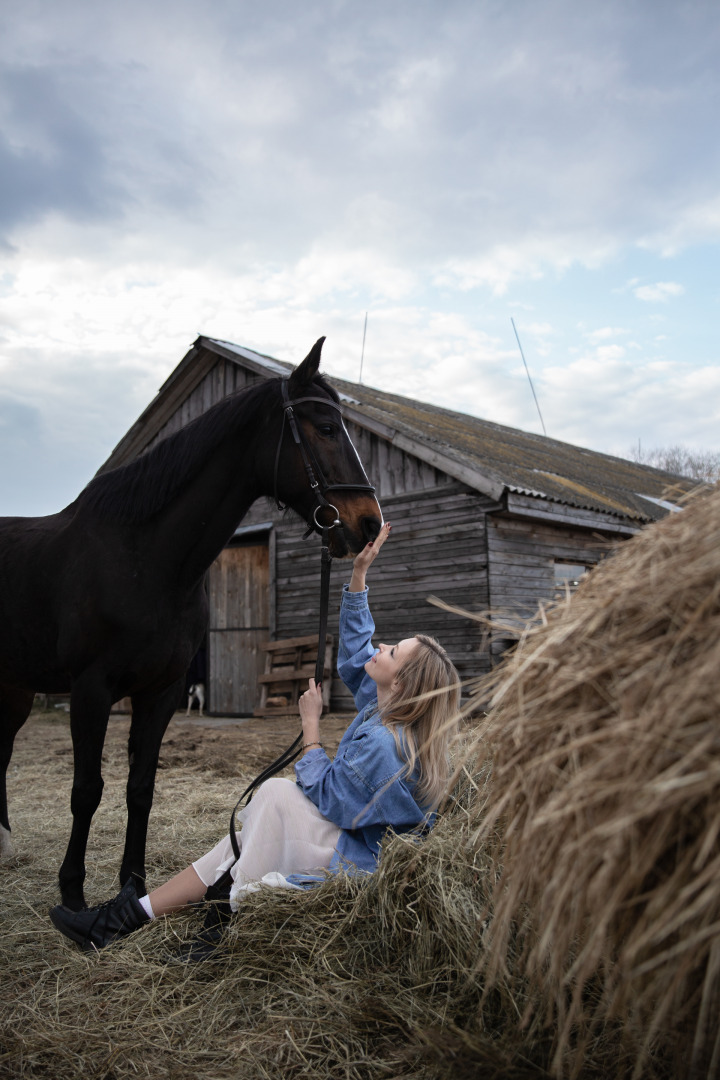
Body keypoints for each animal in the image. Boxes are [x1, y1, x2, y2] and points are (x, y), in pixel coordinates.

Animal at [0, 336, 382, 911]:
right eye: (325, 428)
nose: (370, 523)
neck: (144, 559)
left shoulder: (162, 691)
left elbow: (140, 787)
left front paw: (132, 886)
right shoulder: (90, 690)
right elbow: (86, 789)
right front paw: (72, 895)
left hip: (15, 690)